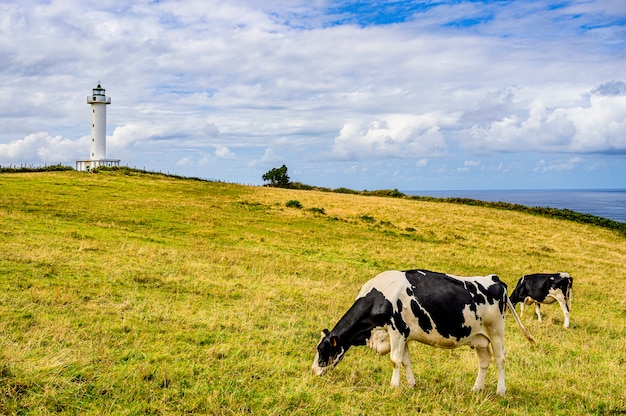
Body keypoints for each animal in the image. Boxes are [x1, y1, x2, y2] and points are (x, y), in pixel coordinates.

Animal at [310, 270, 532, 396]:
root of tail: (495, 279)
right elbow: (405, 360)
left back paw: (501, 390)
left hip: (496, 332)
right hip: (479, 338)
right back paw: (476, 389)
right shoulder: (404, 335)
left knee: (500, 359)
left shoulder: (397, 331)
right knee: (484, 362)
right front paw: (411, 384)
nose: (313, 371)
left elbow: (395, 360)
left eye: (323, 350)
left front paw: (394, 386)